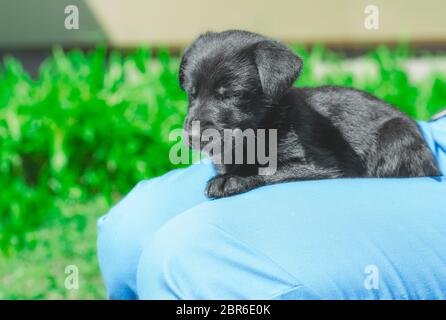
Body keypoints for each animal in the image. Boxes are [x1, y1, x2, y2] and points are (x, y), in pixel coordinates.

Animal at [179, 31, 440, 199]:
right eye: (192, 93)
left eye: (232, 94)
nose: (192, 136)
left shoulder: (320, 166)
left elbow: (268, 169)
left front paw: (231, 180)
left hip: (396, 134)